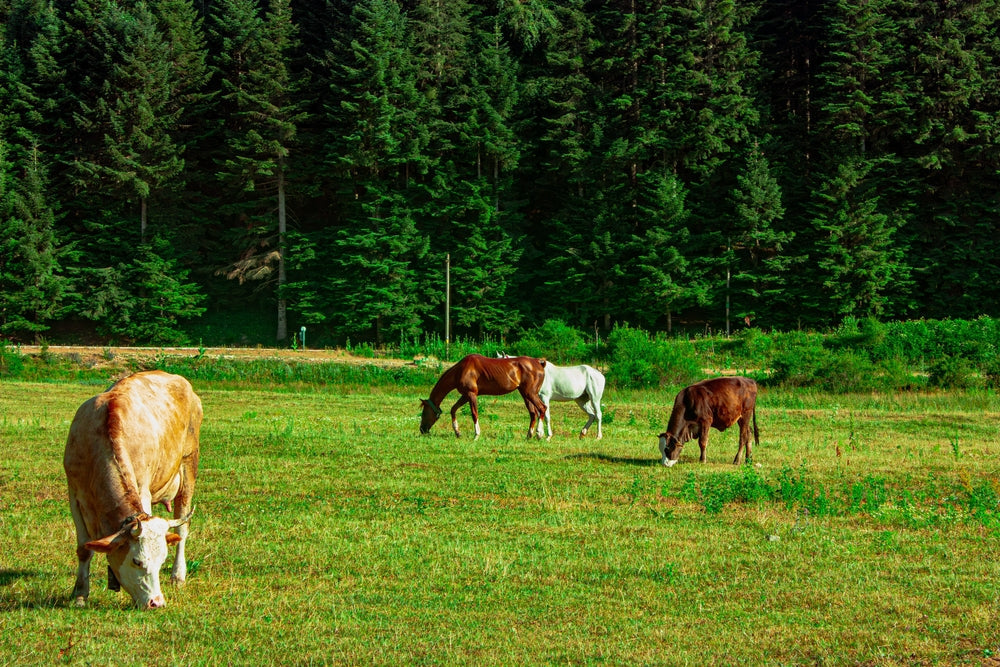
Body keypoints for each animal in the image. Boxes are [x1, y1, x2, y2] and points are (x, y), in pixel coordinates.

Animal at [64, 370, 201, 609]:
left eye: (161, 560)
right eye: (137, 561)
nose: (156, 602)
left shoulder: (143, 489)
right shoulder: (75, 494)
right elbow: (83, 548)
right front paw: (80, 594)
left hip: (188, 466)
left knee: (182, 529)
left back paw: (178, 575)